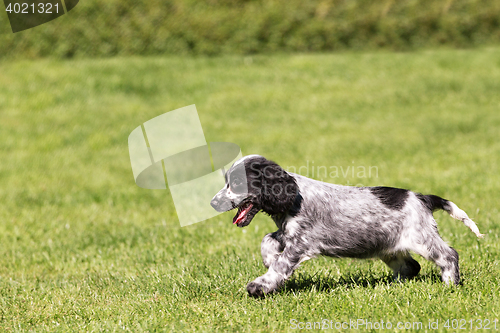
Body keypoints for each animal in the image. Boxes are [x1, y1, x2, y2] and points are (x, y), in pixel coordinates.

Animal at [211, 154, 484, 296]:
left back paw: (450, 284)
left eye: (237, 183)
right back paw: (393, 286)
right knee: (411, 266)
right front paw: (268, 259)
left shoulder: (300, 244)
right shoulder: (287, 233)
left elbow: (280, 265)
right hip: (389, 247)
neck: (294, 197)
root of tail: (422, 197)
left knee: (449, 255)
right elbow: (267, 240)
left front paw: (260, 285)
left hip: (422, 238)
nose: (213, 203)